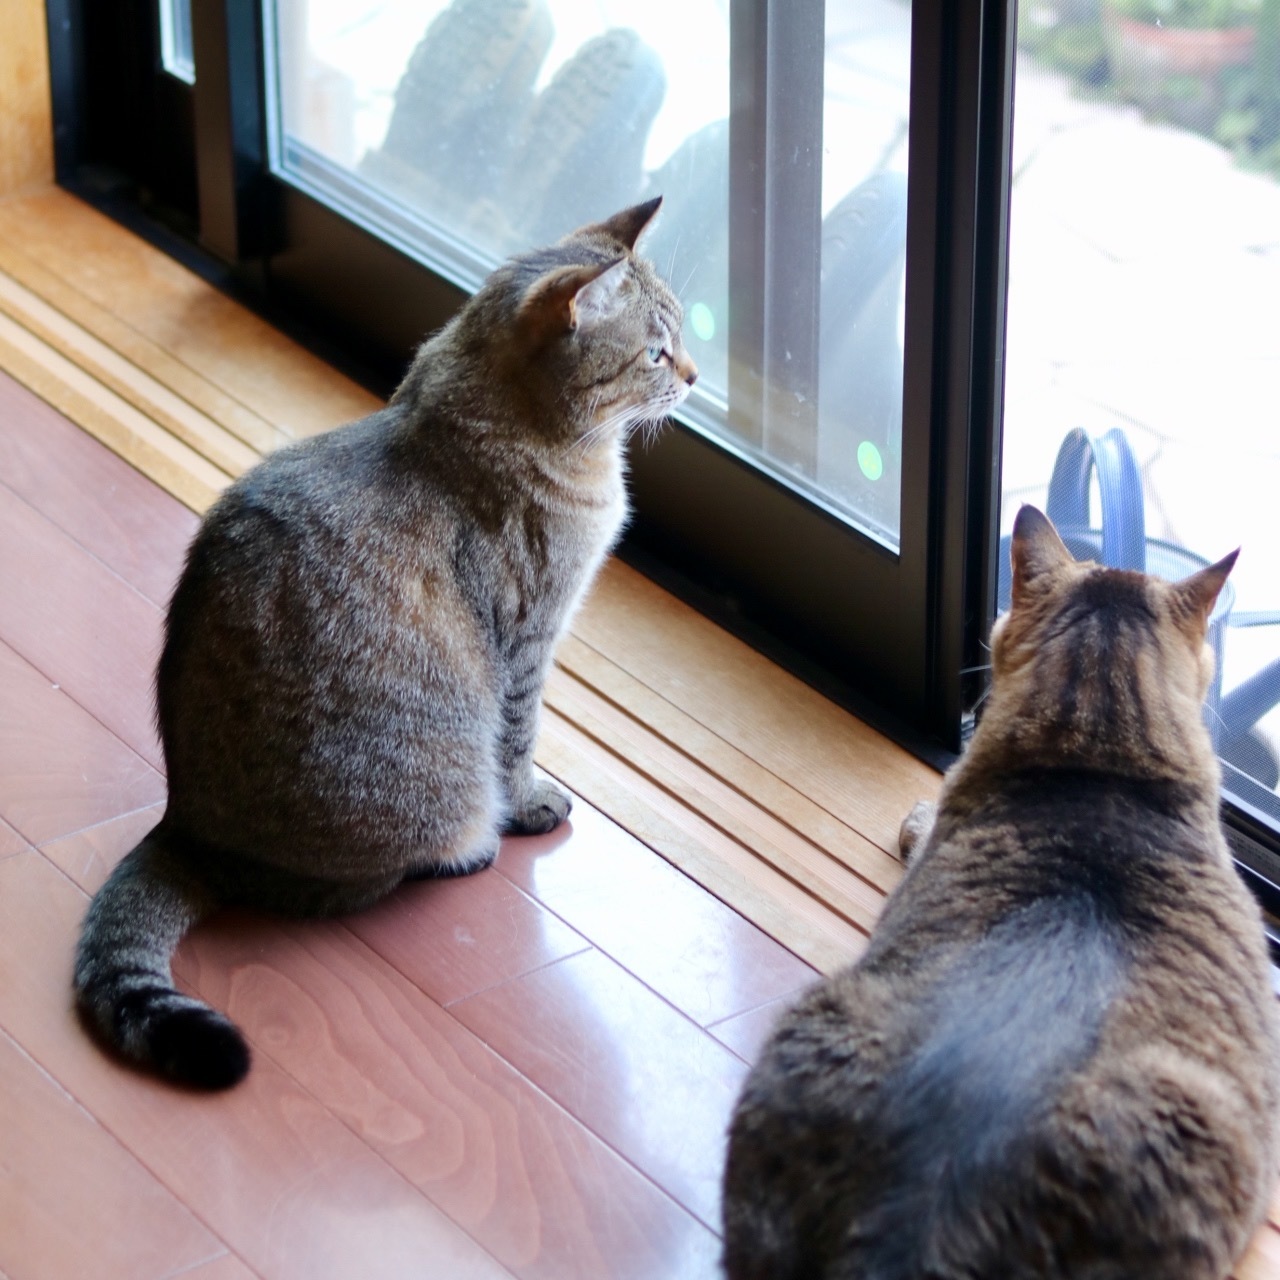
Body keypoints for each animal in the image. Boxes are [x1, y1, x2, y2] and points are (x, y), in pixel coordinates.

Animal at [74, 197, 696, 1090]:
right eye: (654, 350)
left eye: (681, 338)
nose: (695, 377)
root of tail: (183, 826)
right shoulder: (527, 642)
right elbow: (518, 744)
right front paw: (530, 804)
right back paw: (466, 852)